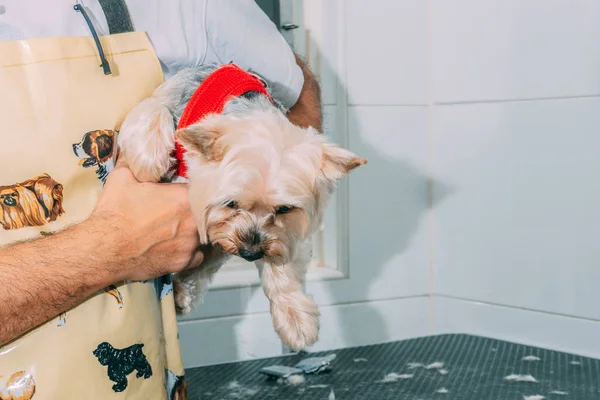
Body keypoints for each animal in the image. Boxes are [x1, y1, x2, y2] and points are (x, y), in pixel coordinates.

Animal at [115, 62, 364, 350]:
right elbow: (154, 108)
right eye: (231, 203)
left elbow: (280, 259)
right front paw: (152, 158)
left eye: (284, 209)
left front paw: (295, 318)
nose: (250, 253)